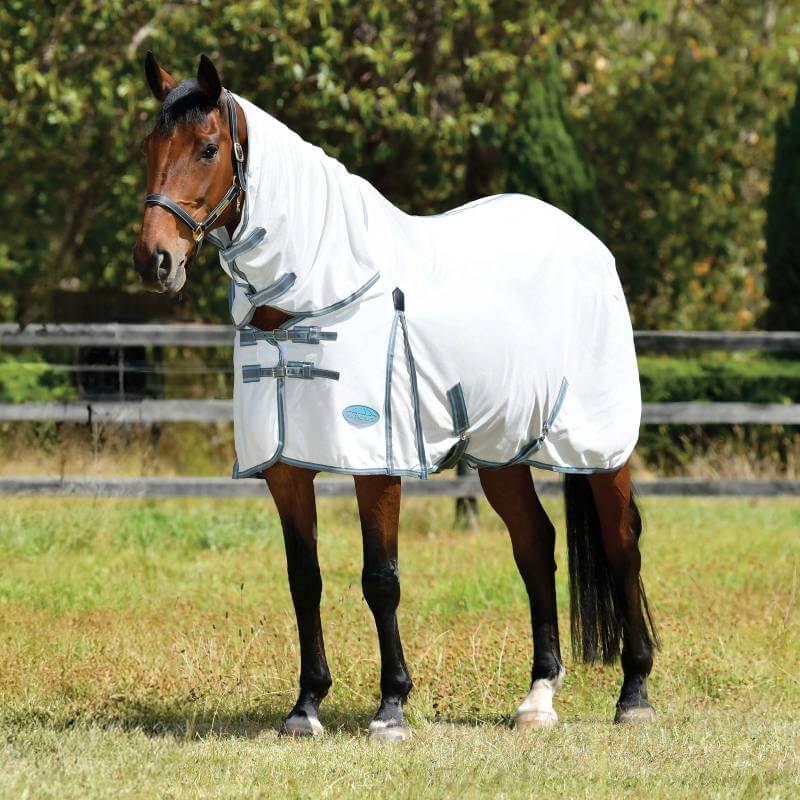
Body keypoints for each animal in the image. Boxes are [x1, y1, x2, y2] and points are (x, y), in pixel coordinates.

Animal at [133, 53, 657, 741]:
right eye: (149, 147)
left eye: (208, 147)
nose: (155, 262)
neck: (320, 290)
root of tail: (587, 244)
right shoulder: (286, 469)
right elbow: (305, 579)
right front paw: (305, 706)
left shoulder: (376, 465)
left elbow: (379, 578)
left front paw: (391, 707)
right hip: (502, 452)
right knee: (535, 546)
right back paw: (538, 698)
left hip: (599, 447)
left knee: (622, 545)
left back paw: (635, 694)